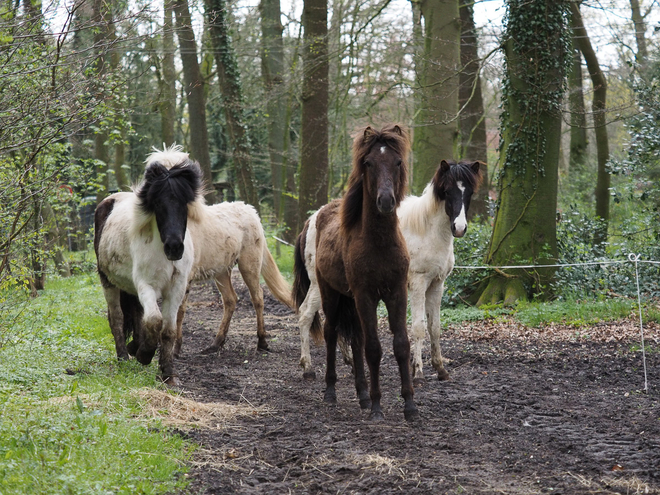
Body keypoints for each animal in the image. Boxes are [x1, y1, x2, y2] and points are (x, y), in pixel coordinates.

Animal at [93, 153, 201, 386]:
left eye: (184, 203)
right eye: (158, 203)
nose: (174, 247)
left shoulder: (176, 289)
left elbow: (167, 329)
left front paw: (168, 373)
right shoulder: (146, 286)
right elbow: (154, 320)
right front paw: (144, 355)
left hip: (130, 288)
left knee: (136, 313)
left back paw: (134, 347)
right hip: (108, 282)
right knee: (117, 318)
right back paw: (124, 356)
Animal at [136, 146, 292, 356]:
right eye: (157, 200)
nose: (174, 247)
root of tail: (252, 211)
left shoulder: (185, 278)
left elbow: (180, 310)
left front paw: (176, 349)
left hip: (249, 265)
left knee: (257, 298)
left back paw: (262, 342)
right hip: (221, 271)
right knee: (230, 300)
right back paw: (216, 343)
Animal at [294, 124, 418, 422]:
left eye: (398, 162)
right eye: (368, 163)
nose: (385, 201)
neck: (379, 243)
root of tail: (315, 217)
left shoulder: (396, 293)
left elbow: (400, 345)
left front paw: (409, 405)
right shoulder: (366, 295)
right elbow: (373, 348)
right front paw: (376, 407)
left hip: (350, 298)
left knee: (357, 338)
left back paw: (361, 393)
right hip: (329, 292)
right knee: (330, 332)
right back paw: (330, 390)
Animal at [296, 159, 482, 384]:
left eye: (469, 192)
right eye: (446, 191)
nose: (460, 228)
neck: (426, 230)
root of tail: (313, 219)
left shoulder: (437, 284)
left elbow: (435, 328)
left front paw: (440, 369)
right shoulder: (418, 284)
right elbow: (418, 327)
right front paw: (418, 372)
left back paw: (350, 363)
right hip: (319, 285)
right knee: (305, 315)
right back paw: (308, 368)